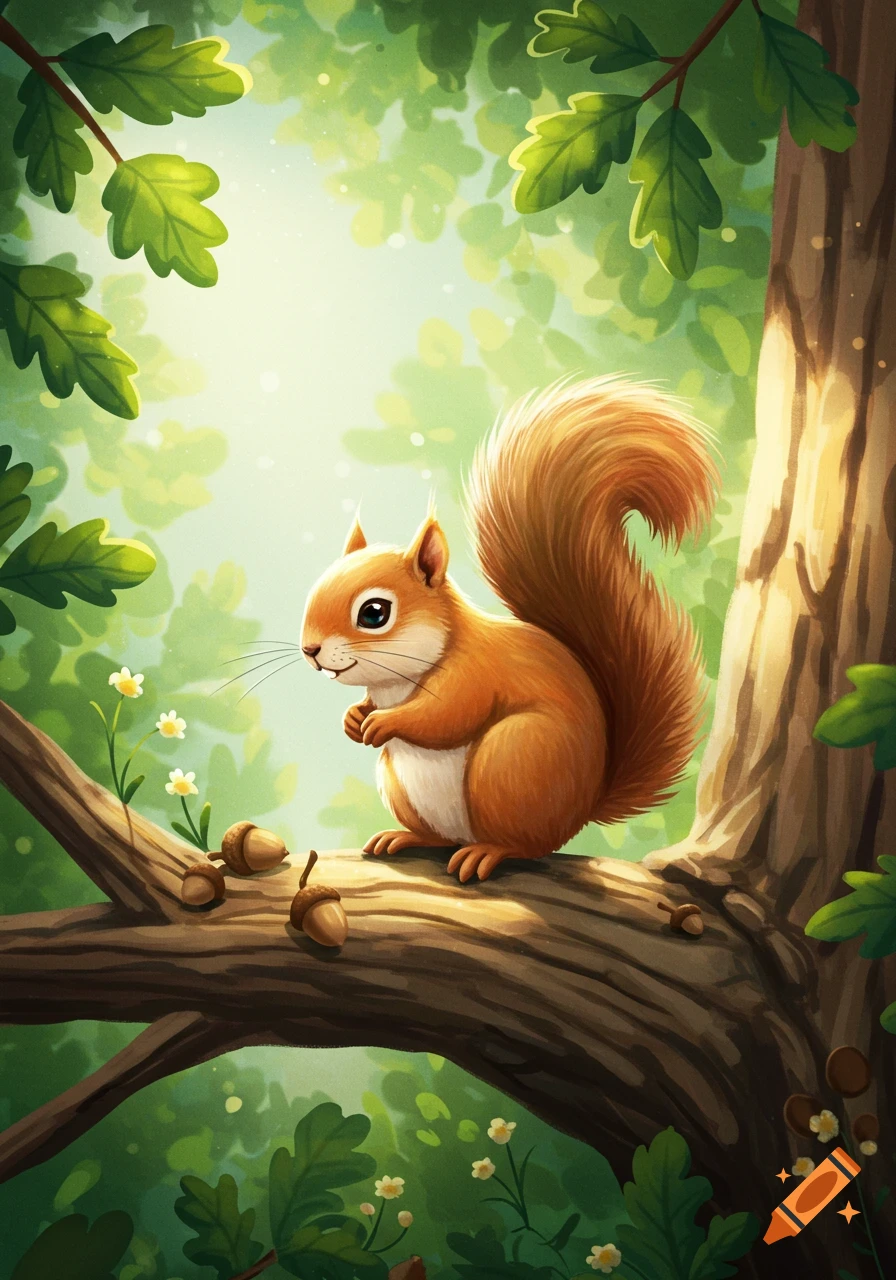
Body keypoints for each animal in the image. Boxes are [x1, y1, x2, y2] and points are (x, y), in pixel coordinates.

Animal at [301, 375, 718, 882]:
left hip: (512, 758)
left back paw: (488, 852)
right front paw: (354, 717)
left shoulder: (474, 672)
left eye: (374, 613)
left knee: (527, 843)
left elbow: (448, 716)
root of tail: (581, 809)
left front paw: (385, 721)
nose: (310, 650)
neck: (399, 680)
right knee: (441, 836)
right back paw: (406, 837)